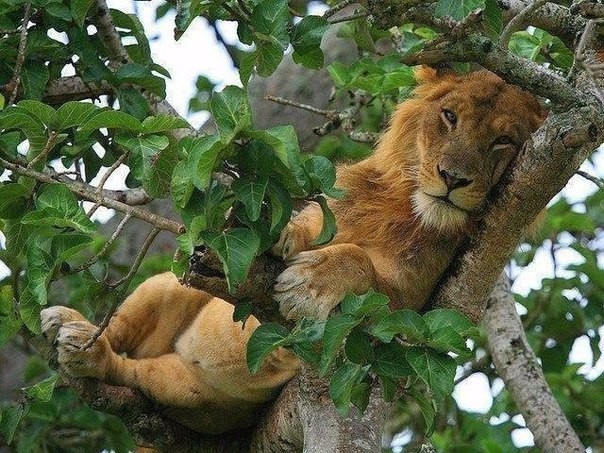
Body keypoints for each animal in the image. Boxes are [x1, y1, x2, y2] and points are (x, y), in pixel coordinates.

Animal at [40, 65, 544, 436]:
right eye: (450, 117)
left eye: (504, 141)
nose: (453, 178)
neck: (403, 204)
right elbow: (304, 228)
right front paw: (274, 230)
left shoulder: (419, 306)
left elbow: (362, 265)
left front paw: (311, 283)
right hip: (169, 284)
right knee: (120, 327)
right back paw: (70, 327)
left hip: (192, 392)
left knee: (128, 373)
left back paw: (88, 354)